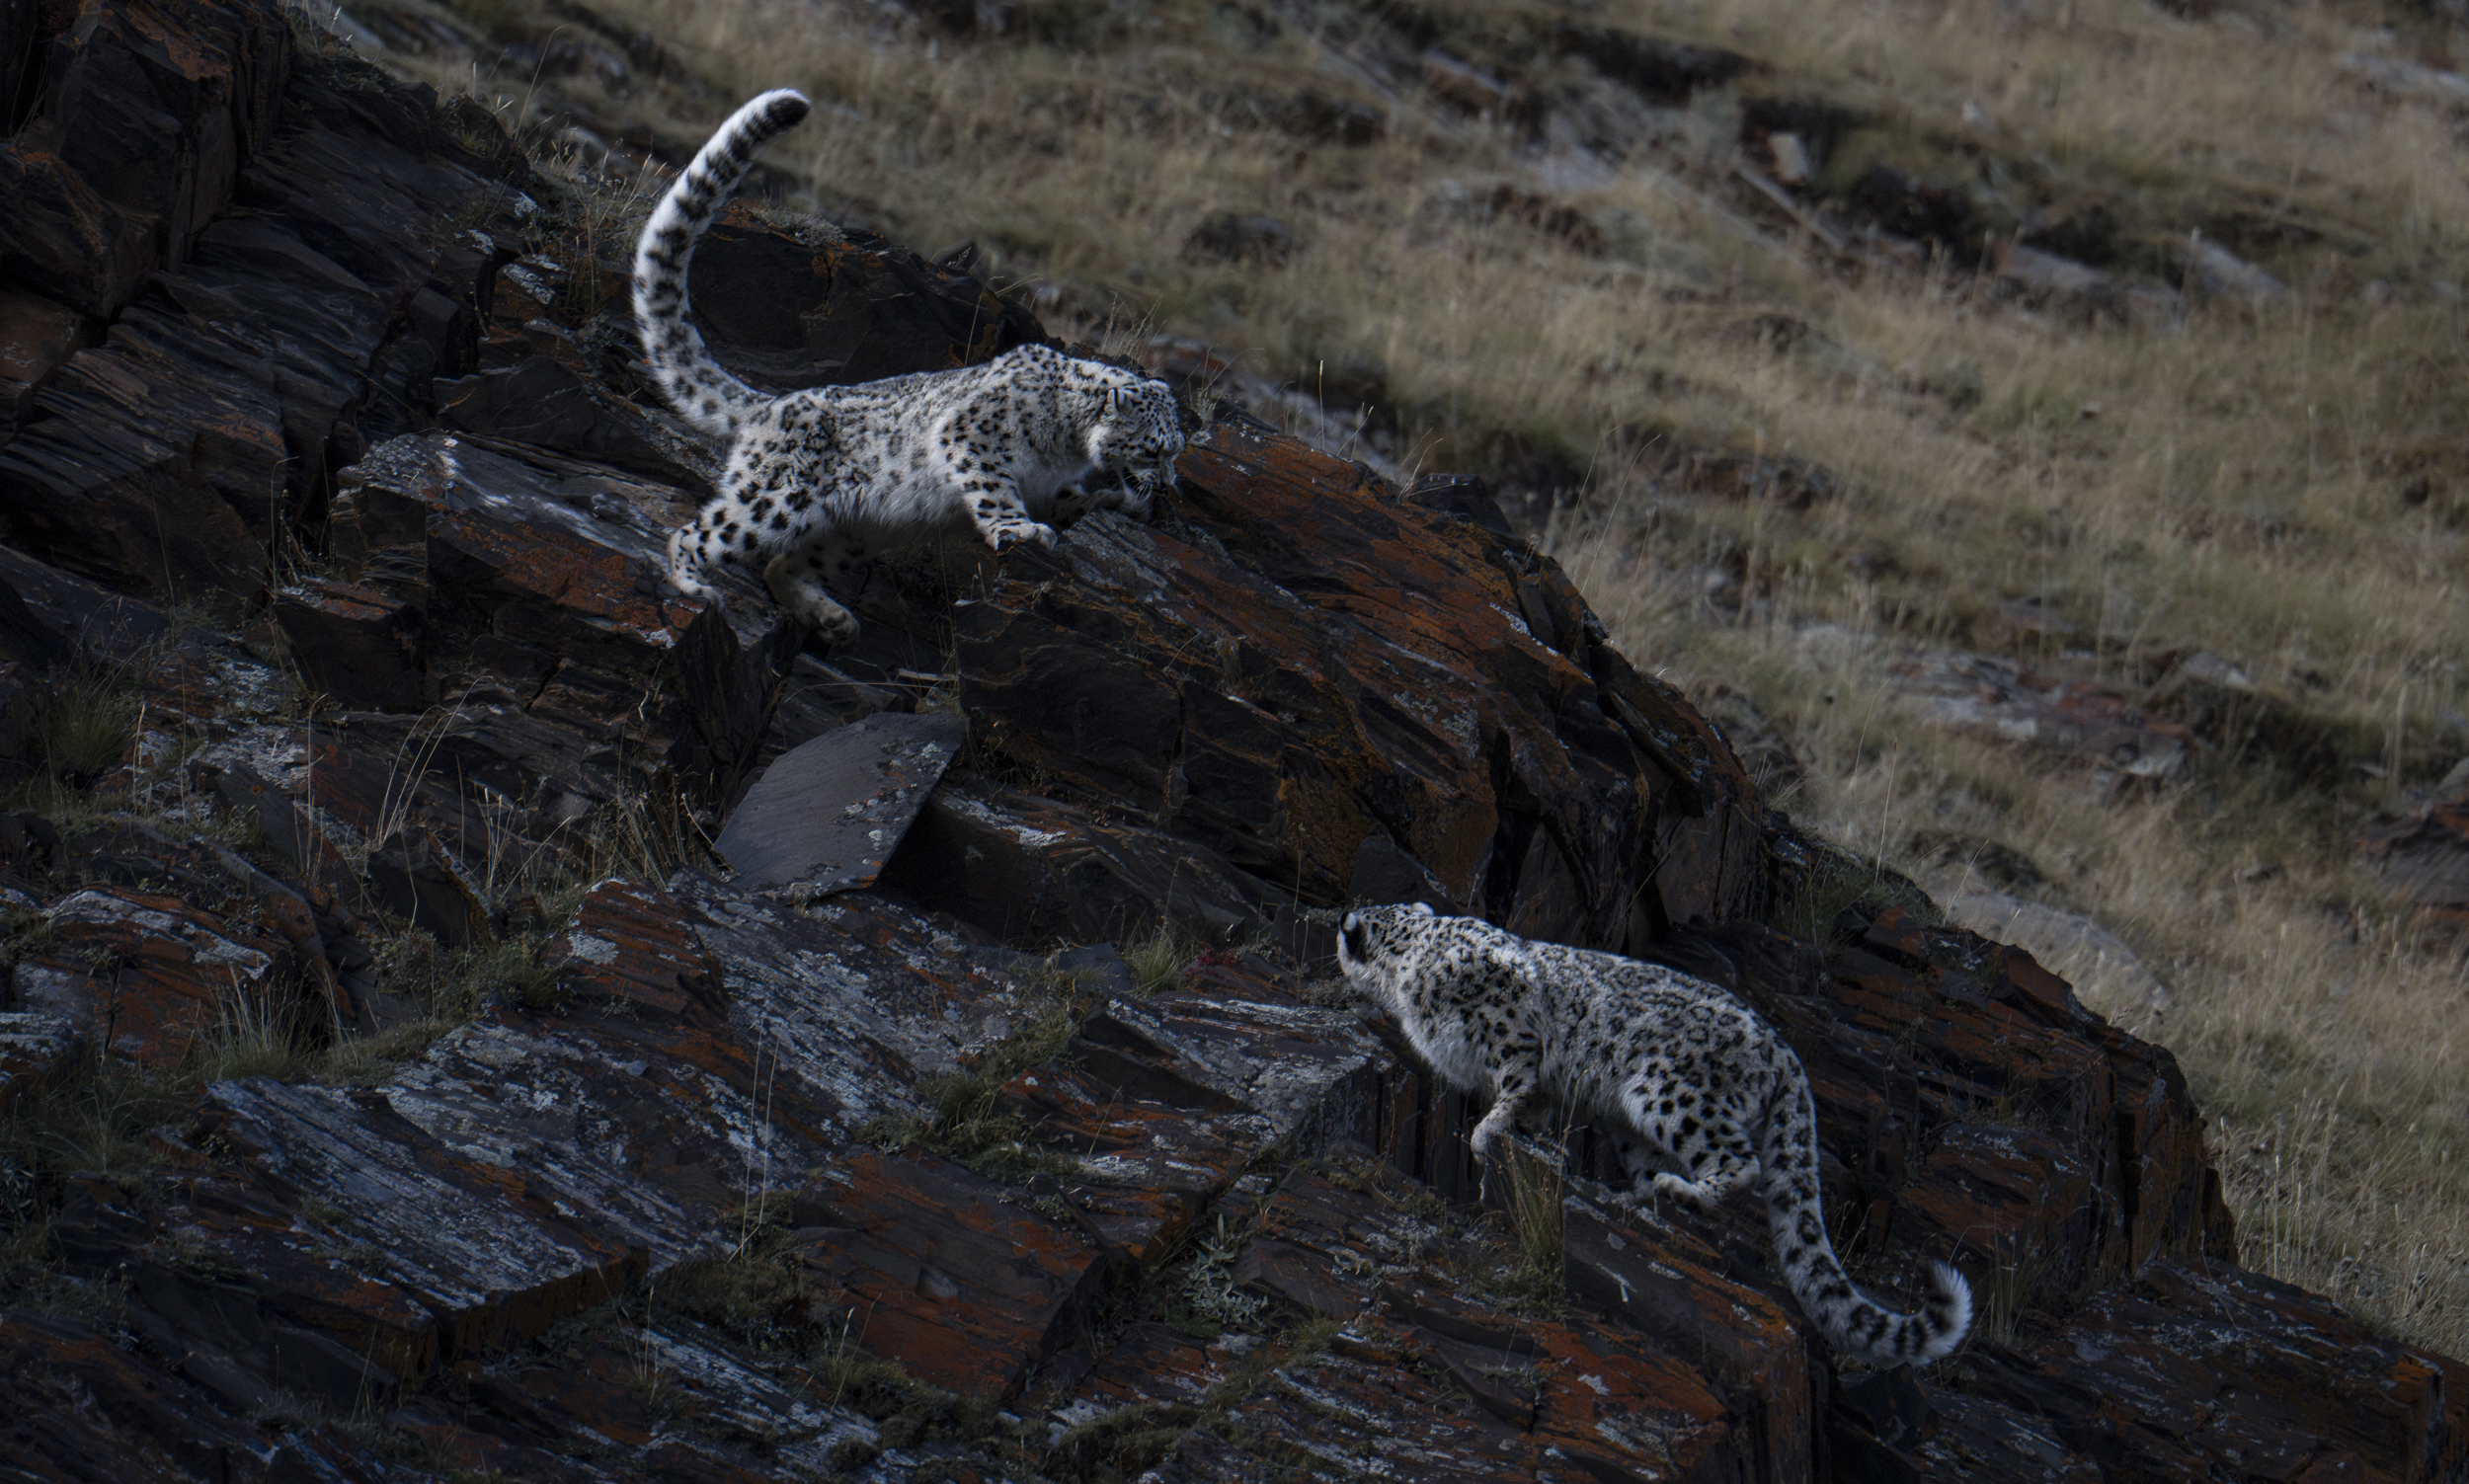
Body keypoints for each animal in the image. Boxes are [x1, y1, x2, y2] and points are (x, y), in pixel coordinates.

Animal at [631, 89, 1186, 648]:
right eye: (1155, 449)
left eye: (1176, 450)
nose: (1168, 486)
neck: (1065, 449)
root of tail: (773, 403)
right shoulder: (972, 435)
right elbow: (993, 488)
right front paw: (1019, 529)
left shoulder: (1051, 488)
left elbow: (1075, 501)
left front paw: (1120, 502)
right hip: (778, 497)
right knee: (704, 530)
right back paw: (694, 585)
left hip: (849, 534)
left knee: (782, 565)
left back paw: (832, 618)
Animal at [1336, 901, 1973, 1365]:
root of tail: (1786, 1053)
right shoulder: (1540, 1082)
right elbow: (1535, 1107)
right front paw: (1528, 1137)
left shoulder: (1511, 1031)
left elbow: (1515, 1084)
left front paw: (1485, 1133)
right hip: (1630, 1124)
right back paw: (1632, 1198)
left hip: (1670, 1094)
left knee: (1742, 1162)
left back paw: (1679, 1191)